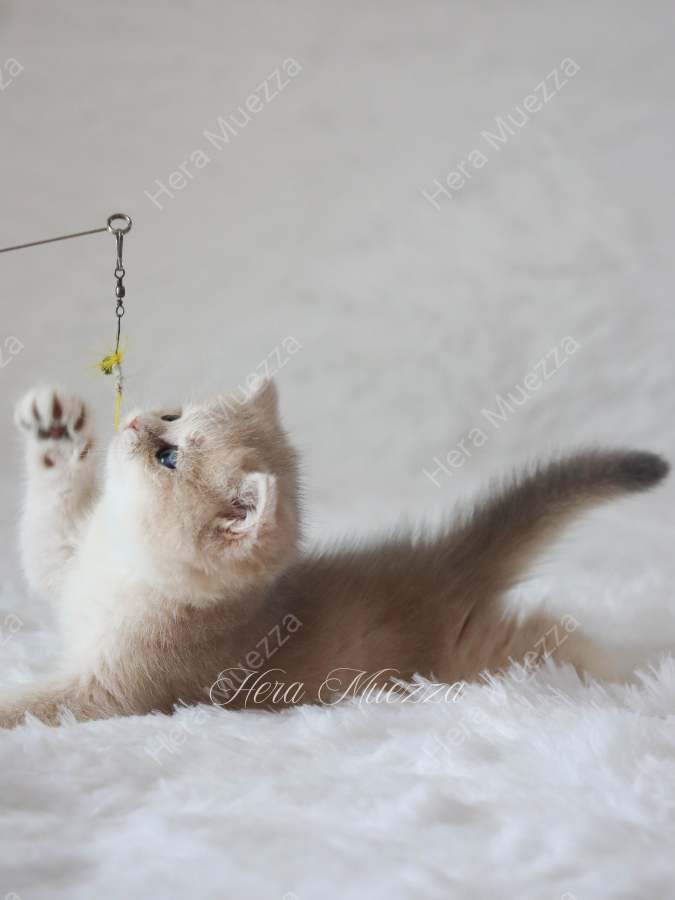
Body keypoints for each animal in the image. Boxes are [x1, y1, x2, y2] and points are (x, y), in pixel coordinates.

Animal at [0, 379, 667, 728]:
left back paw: (630, 683)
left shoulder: (115, 692)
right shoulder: (65, 561)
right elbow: (45, 532)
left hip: (493, 657)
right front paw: (55, 429)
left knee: (558, 638)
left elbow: (33, 705)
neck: (122, 569)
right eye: (172, 412)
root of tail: (440, 563)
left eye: (168, 453)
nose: (134, 421)